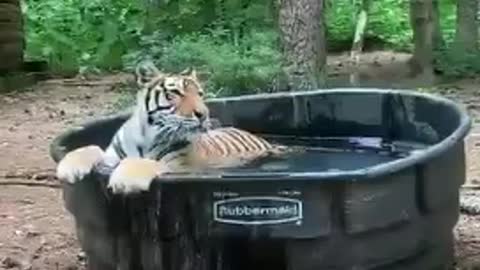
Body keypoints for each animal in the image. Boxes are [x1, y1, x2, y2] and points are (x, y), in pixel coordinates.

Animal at [56, 61, 296, 194]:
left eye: (200, 94)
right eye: (176, 94)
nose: (203, 114)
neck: (146, 135)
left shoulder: (180, 166)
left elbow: (147, 162)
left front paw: (124, 179)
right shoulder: (110, 156)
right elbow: (91, 148)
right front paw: (68, 166)